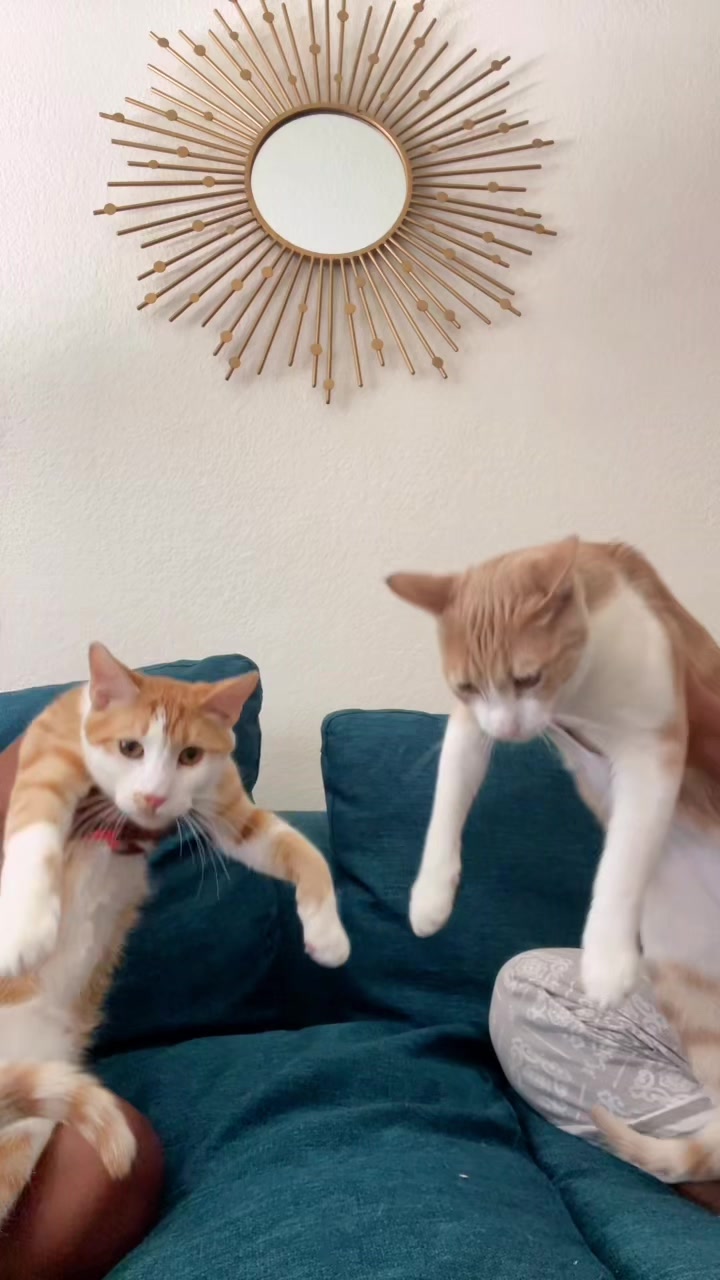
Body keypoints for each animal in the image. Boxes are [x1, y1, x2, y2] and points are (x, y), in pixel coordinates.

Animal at [0, 644, 350, 1223]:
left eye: (189, 756)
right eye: (130, 747)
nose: (154, 798)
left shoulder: (226, 807)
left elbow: (298, 848)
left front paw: (328, 932)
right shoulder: (48, 751)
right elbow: (35, 826)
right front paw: (26, 929)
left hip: (29, 1115)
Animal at [388, 536, 720, 1181]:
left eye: (528, 677)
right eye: (467, 687)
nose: (509, 730)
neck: (577, 694)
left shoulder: (652, 751)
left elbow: (622, 859)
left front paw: (606, 960)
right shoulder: (469, 726)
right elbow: (447, 798)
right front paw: (430, 897)